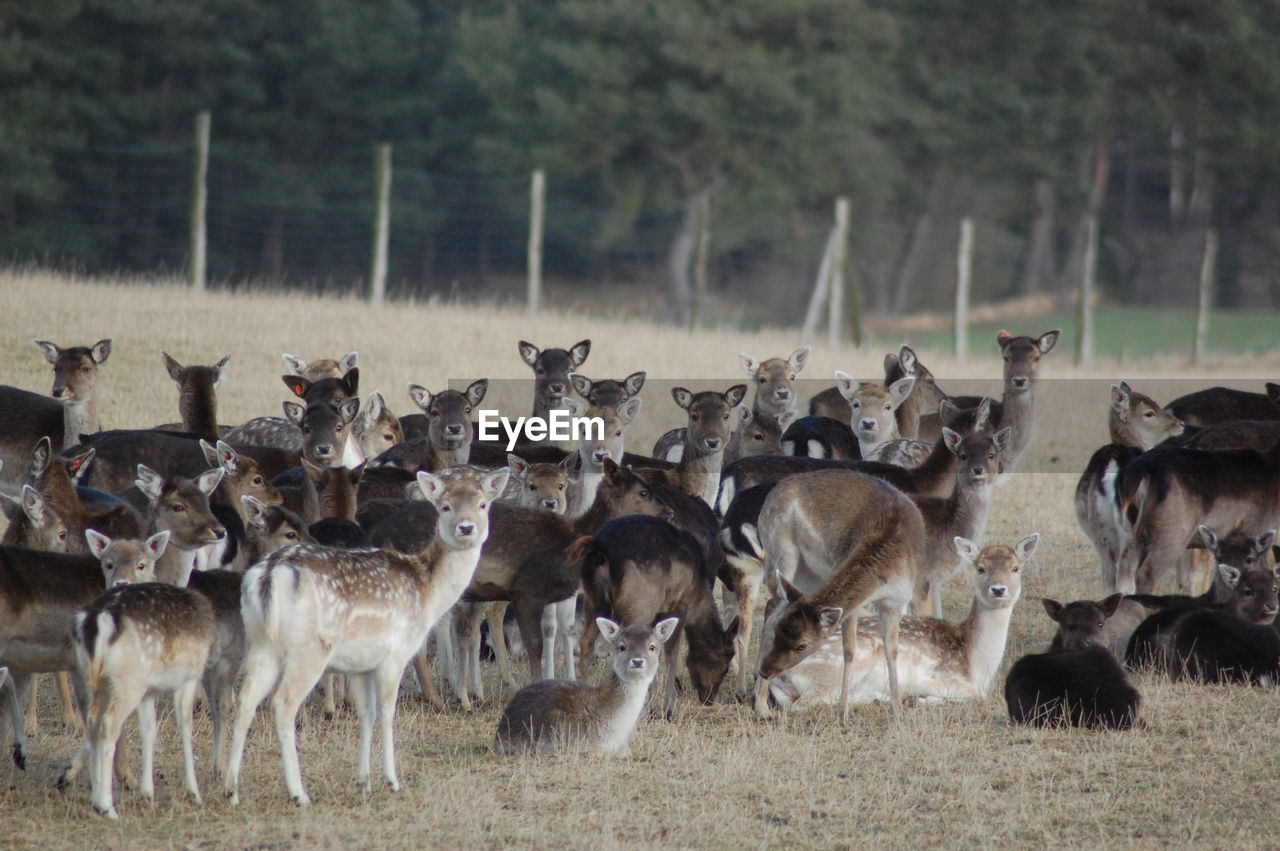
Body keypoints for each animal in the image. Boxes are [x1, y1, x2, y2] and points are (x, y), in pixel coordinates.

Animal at [225, 465, 509, 803]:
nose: (466, 528)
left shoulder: (360, 664)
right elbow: (387, 712)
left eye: (482, 504)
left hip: (260, 642)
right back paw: (298, 793)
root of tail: (269, 574)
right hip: (309, 649)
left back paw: (230, 788)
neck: (427, 591)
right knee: (282, 703)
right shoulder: (395, 654)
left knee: (245, 701)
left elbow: (366, 713)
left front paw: (364, 780)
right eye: (445, 507)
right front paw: (391, 780)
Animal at [762, 532, 1034, 711]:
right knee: (803, 704)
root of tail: (775, 677)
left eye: (1016, 568)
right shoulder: (932, 675)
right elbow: (978, 695)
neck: (977, 662)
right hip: (835, 670)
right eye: (980, 568)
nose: (998, 589)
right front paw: (921, 699)